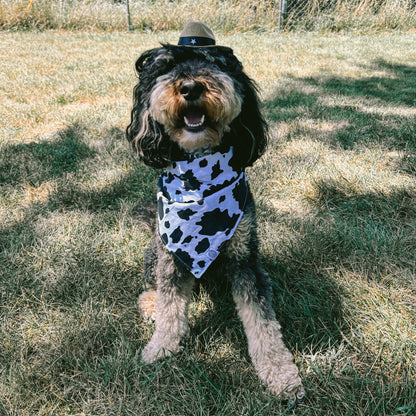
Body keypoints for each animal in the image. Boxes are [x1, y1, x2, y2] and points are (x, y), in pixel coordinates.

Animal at [125, 21, 304, 402]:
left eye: (214, 64)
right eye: (167, 67)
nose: (190, 87)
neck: (201, 174)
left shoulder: (245, 260)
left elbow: (263, 323)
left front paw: (281, 375)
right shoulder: (171, 258)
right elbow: (171, 306)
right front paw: (161, 348)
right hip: (154, 251)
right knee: (151, 289)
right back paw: (150, 305)